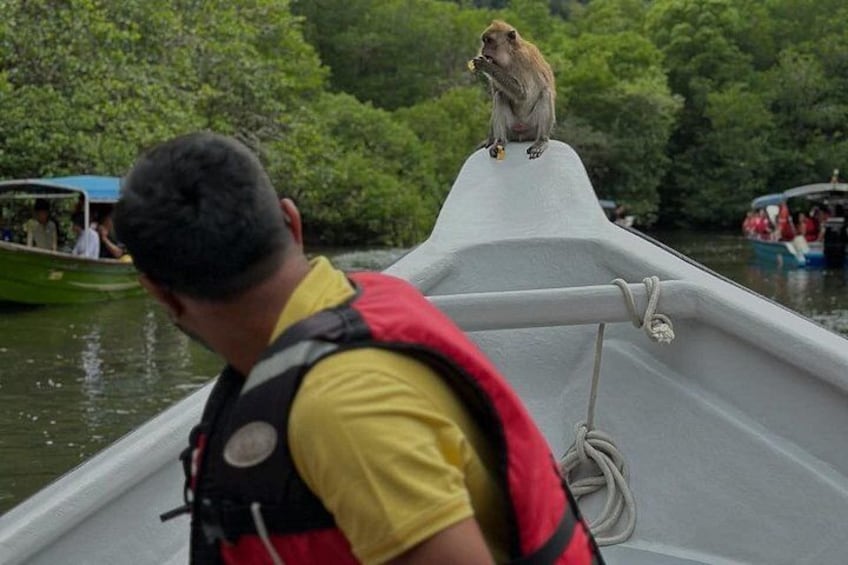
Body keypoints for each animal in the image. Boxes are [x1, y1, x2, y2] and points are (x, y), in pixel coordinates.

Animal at [469, 20, 556, 160]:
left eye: (490, 41)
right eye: (484, 41)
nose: (483, 49)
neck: (510, 54)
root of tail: (521, 131)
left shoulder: (523, 59)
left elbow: (523, 93)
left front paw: (486, 65)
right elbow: (497, 93)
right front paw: (490, 138)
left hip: (532, 127)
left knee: (545, 93)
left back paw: (541, 141)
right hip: (512, 128)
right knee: (500, 96)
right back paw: (499, 141)